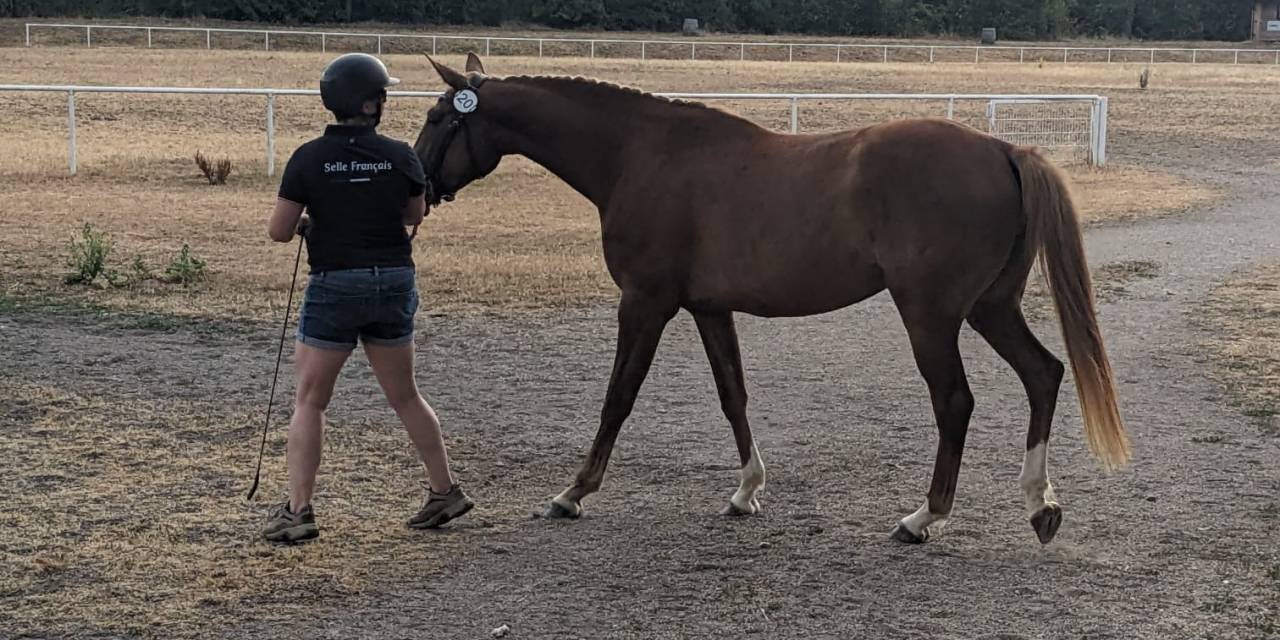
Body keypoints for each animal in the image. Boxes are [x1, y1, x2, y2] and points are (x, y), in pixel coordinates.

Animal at [414, 53, 1130, 544]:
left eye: (437, 118)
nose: (417, 187)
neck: (641, 155)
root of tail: (1005, 149)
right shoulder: (707, 308)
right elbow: (733, 396)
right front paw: (746, 491)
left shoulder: (645, 302)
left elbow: (619, 396)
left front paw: (574, 491)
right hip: (990, 308)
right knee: (1044, 374)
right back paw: (1039, 504)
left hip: (930, 315)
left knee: (955, 401)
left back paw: (924, 516)